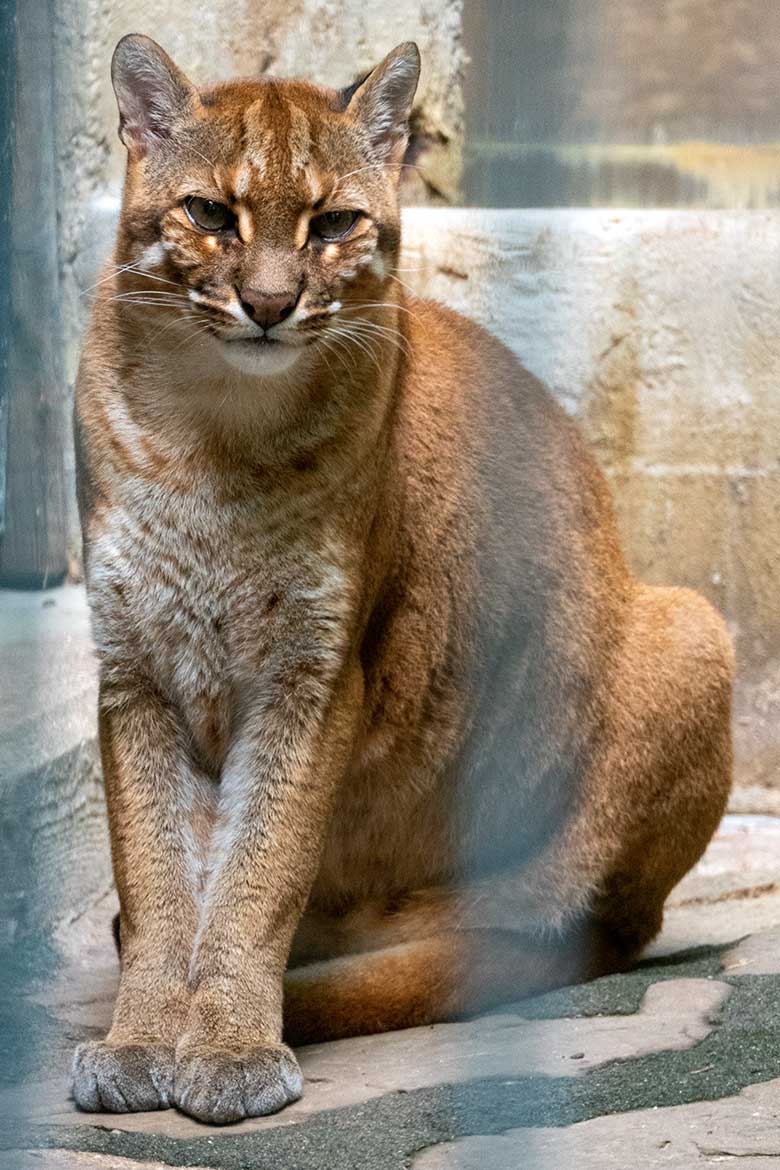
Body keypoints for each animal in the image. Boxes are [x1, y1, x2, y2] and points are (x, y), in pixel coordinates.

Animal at [70, 34, 734, 1123]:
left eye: (336, 223)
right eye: (209, 214)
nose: (268, 304)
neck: (212, 434)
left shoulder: (310, 675)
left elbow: (259, 866)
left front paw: (227, 1045)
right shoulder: (135, 668)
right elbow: (156, 874)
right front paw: (141, 1039)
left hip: (690, 627)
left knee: (581, 929)